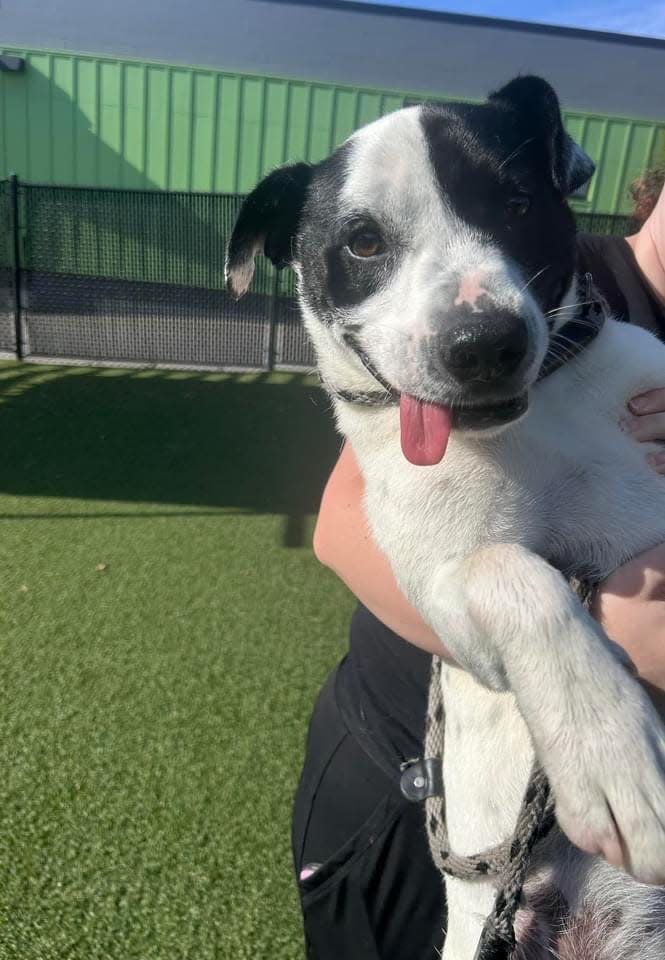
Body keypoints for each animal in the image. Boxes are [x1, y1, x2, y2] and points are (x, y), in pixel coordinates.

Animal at [224, 79, 664, 956]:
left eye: (518, 203)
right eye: (362, 242)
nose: (483, 342)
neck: (532, 424)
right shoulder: (445, 598)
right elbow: (511, 568)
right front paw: (611, 752)